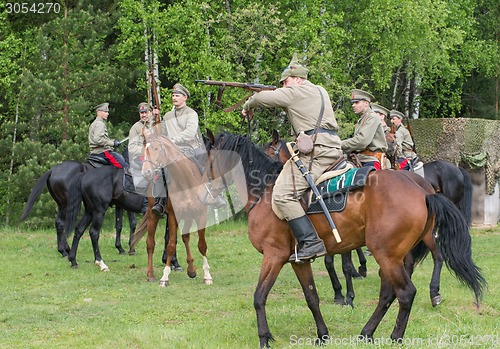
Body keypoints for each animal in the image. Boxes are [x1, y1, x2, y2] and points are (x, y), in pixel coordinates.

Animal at [212, 132, 484, 346]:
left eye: (208, 158)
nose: (210, 196)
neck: (265, 193)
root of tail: (424, 191)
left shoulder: (274, 255)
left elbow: (259, 297)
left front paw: (264, 337)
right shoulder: (299, 260)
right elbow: (311, 297)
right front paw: (322, 334)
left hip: (388, 254)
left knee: (408, 289)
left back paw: (398, 333)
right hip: (393, 255)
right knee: (389, 292)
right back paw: (367, 333)